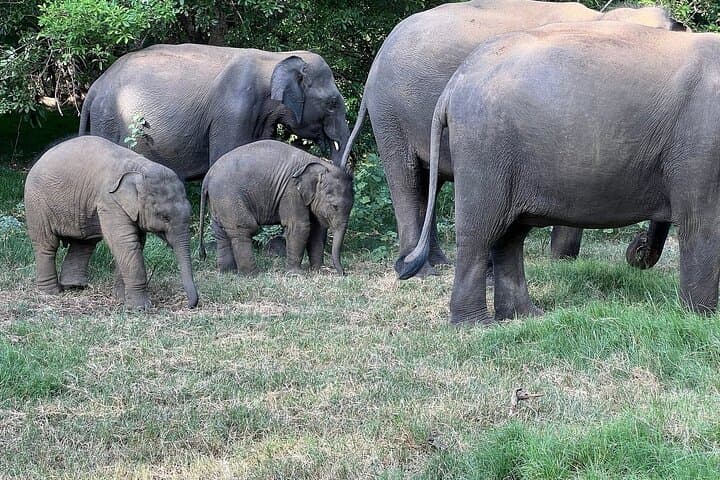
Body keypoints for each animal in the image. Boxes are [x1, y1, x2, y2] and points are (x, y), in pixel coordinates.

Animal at [24, 136, 199, 309]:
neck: (140, 167)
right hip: (37, 204)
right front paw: (140, 307)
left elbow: (135, 242)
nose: (189, 304)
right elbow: (126, 242)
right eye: (164, 217)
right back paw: (51, 292)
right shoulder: (110, 201)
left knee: (84, 243)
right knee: (47, 244)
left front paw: (122, 298)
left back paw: (75, 286)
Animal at [80, 44, 350, 180]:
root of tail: (93, 88)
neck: (274, 59)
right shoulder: (233, 110)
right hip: (108, 119)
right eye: (332, 103)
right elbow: (225, 158)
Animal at [198, 140, 353, 275]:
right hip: (228, 197)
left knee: (220, 232)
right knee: (243, 228)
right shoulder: (291, 191)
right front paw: (296, 275)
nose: (343, 273)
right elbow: (299, 226)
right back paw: (252, 275)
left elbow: (317, 230)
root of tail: (207, 176)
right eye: (334, 206)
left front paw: (317, 271)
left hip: (217, 201)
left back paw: (227, 272)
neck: (320, 163)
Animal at [339, 0, 685, 275]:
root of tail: (375, 65)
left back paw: (439, 264)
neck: (605, 19)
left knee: (429, 184)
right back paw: (419, 271)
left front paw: (562, 261)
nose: (637, 250)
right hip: (391, 115)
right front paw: (560, 261)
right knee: (408, 178)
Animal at [398, 22, 720, 324]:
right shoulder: (702, 147)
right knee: (480, 232)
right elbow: (702, 224)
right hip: (484, 150)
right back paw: (474, 325)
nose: (637, 250)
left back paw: (523, 316)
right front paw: (701, 319)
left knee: (510, 235)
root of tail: (454, 83)